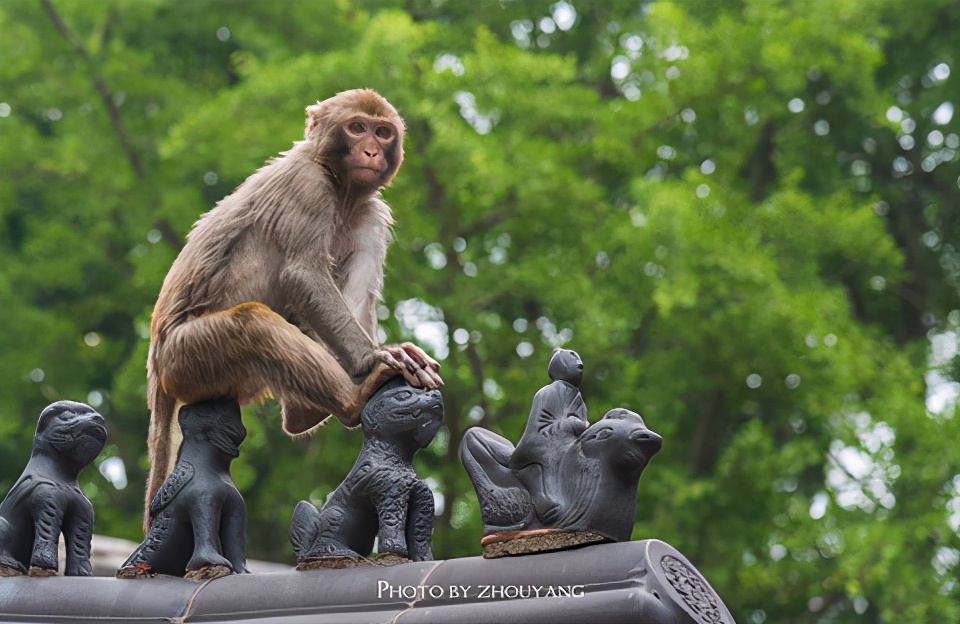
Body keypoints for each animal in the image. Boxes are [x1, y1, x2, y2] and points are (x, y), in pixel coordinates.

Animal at [144, 88, 444, 524]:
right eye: (357, 128)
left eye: (383, 132)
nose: (371, 151)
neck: (339, 187)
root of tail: (156, 368)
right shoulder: (308, 184)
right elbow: (303, 274)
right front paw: (373, 358)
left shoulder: (370, 212)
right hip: (186, 358)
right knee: (254, 323)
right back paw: (352, 401)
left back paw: (307, 412)